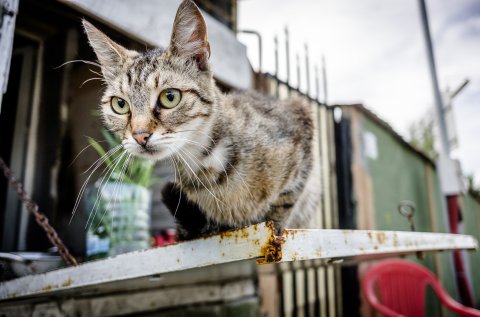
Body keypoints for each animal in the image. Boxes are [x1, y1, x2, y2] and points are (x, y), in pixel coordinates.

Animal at [84, 0, 320, 238]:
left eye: (170, 97)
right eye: (120, 104)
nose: (140, 136)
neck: (204, 162)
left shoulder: (299, 120)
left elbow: (283, 203)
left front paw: (274, 226)